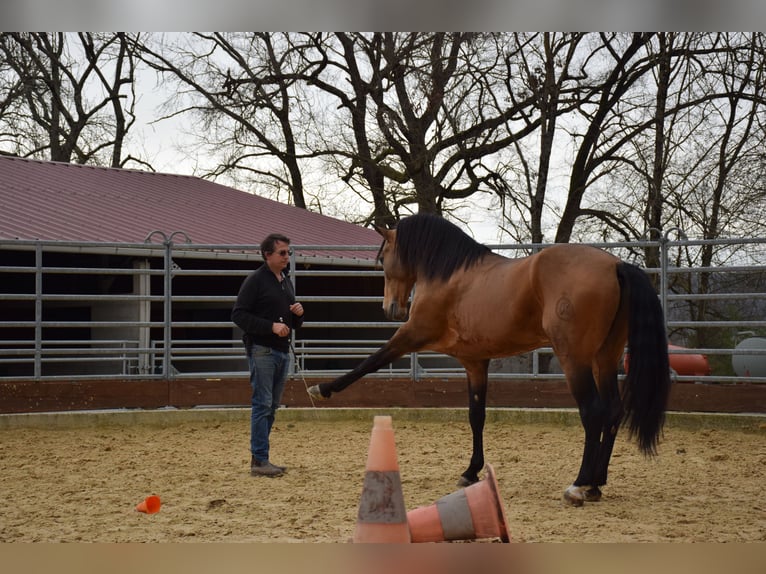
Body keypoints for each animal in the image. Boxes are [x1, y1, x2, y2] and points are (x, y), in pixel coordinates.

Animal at [308, 213, 671, 506]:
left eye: (384, 258)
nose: (390, 309)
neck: (449, 273)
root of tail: (615, 265)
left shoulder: (413, 333)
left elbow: (371, 361)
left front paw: (323, 389)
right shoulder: (475, 361)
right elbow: (476, 415)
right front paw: (470, 471)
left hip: (575, 360)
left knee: (593, 412)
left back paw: (579, 485)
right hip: (604, 359)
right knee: (613, 411)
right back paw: (596, 484)